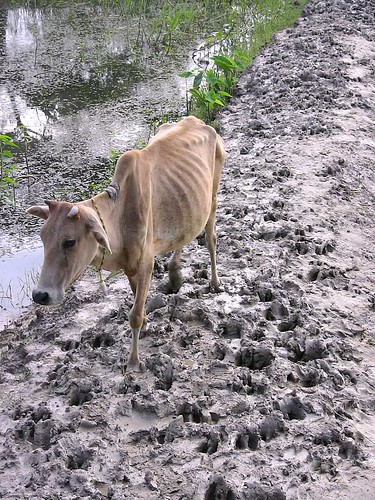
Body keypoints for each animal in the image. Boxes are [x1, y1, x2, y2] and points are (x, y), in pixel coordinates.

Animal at [27, 115, 226, 370]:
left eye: (69, 241)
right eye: (43, 238)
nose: (40, 295)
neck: (120, 216)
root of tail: (197, 120)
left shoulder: (146, 264)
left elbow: (135, 315)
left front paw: (133, 361)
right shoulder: (130, 267)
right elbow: (136, 299)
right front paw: (148, 323)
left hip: (213, 197)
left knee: (211, 239)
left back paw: (215, 282)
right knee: (183, 235)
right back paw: (175, 274)